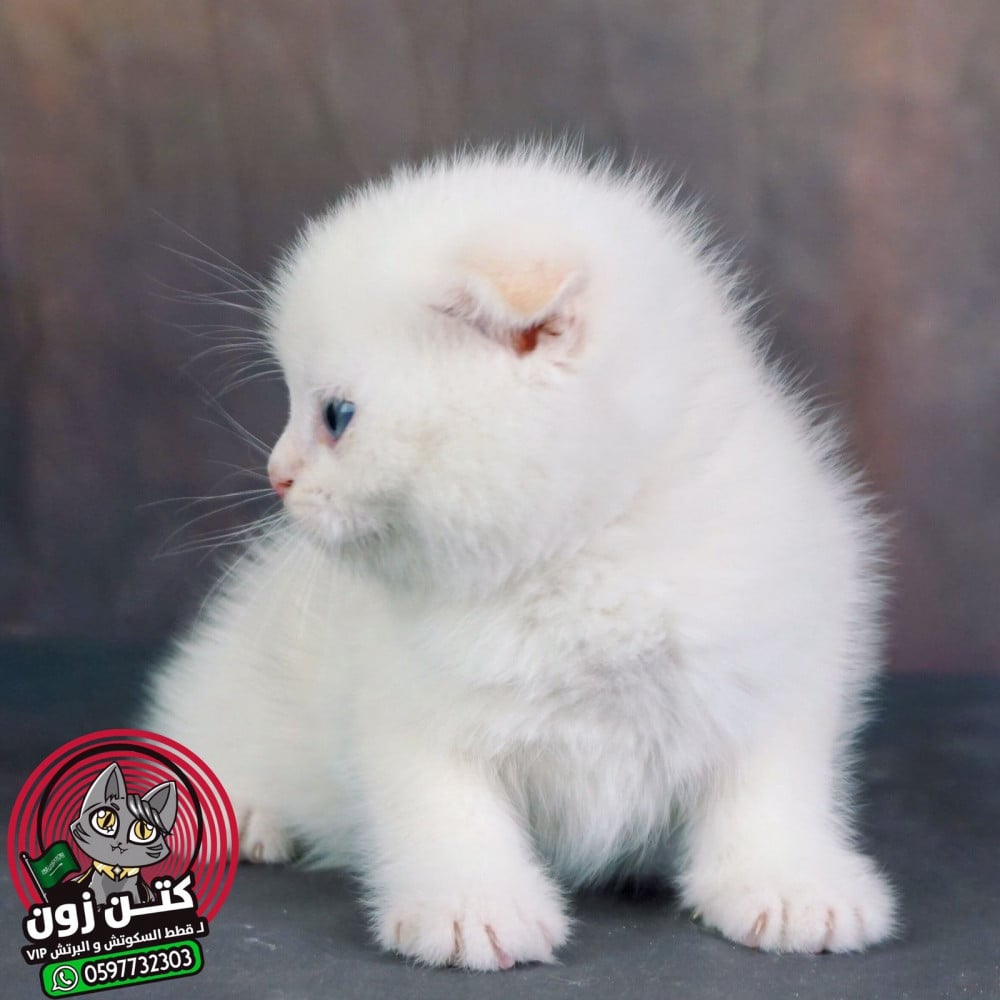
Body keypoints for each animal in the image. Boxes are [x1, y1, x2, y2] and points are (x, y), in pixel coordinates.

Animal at [145, 145, 896, 969]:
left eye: (336, 417)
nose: (277, 476)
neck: (586, 549)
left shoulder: (775, 666)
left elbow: (771, 791)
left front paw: (789, 885)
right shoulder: (409, 709)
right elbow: (443, 807)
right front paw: (472, 905)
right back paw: (244, 809)